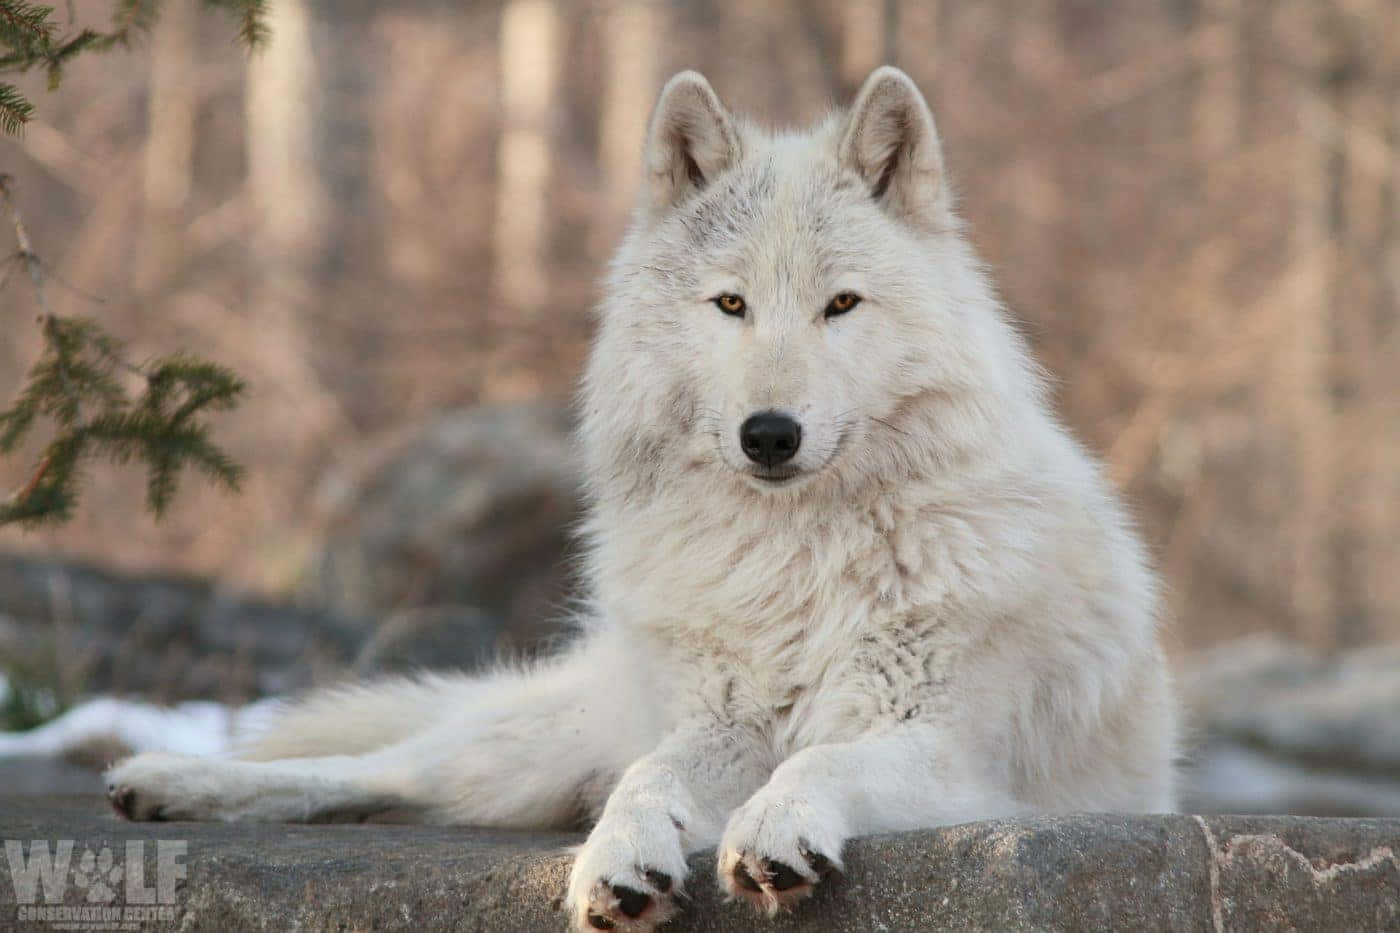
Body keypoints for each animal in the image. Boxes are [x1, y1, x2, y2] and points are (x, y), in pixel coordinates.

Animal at [103, 67, 1177, 930]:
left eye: (840, 305)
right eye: (731, 304)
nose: (770, 433)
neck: (796, 564)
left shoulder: (956, 755)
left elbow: (821, 761)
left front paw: (774, 829)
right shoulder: (712, 727)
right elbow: (647, 777)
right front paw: (619, 861)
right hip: (522, 750)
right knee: (383, 767)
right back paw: (164, 781)